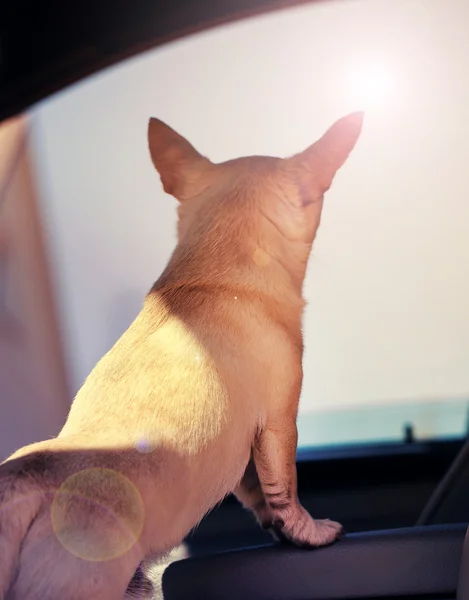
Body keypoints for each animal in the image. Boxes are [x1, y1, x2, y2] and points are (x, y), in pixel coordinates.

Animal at [0, 110, 362, 596]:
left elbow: (257, 491)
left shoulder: (246, 452)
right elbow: (285, 488)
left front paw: (277, 528)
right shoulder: (278, 423)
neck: (211, 274)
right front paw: (310, 532)